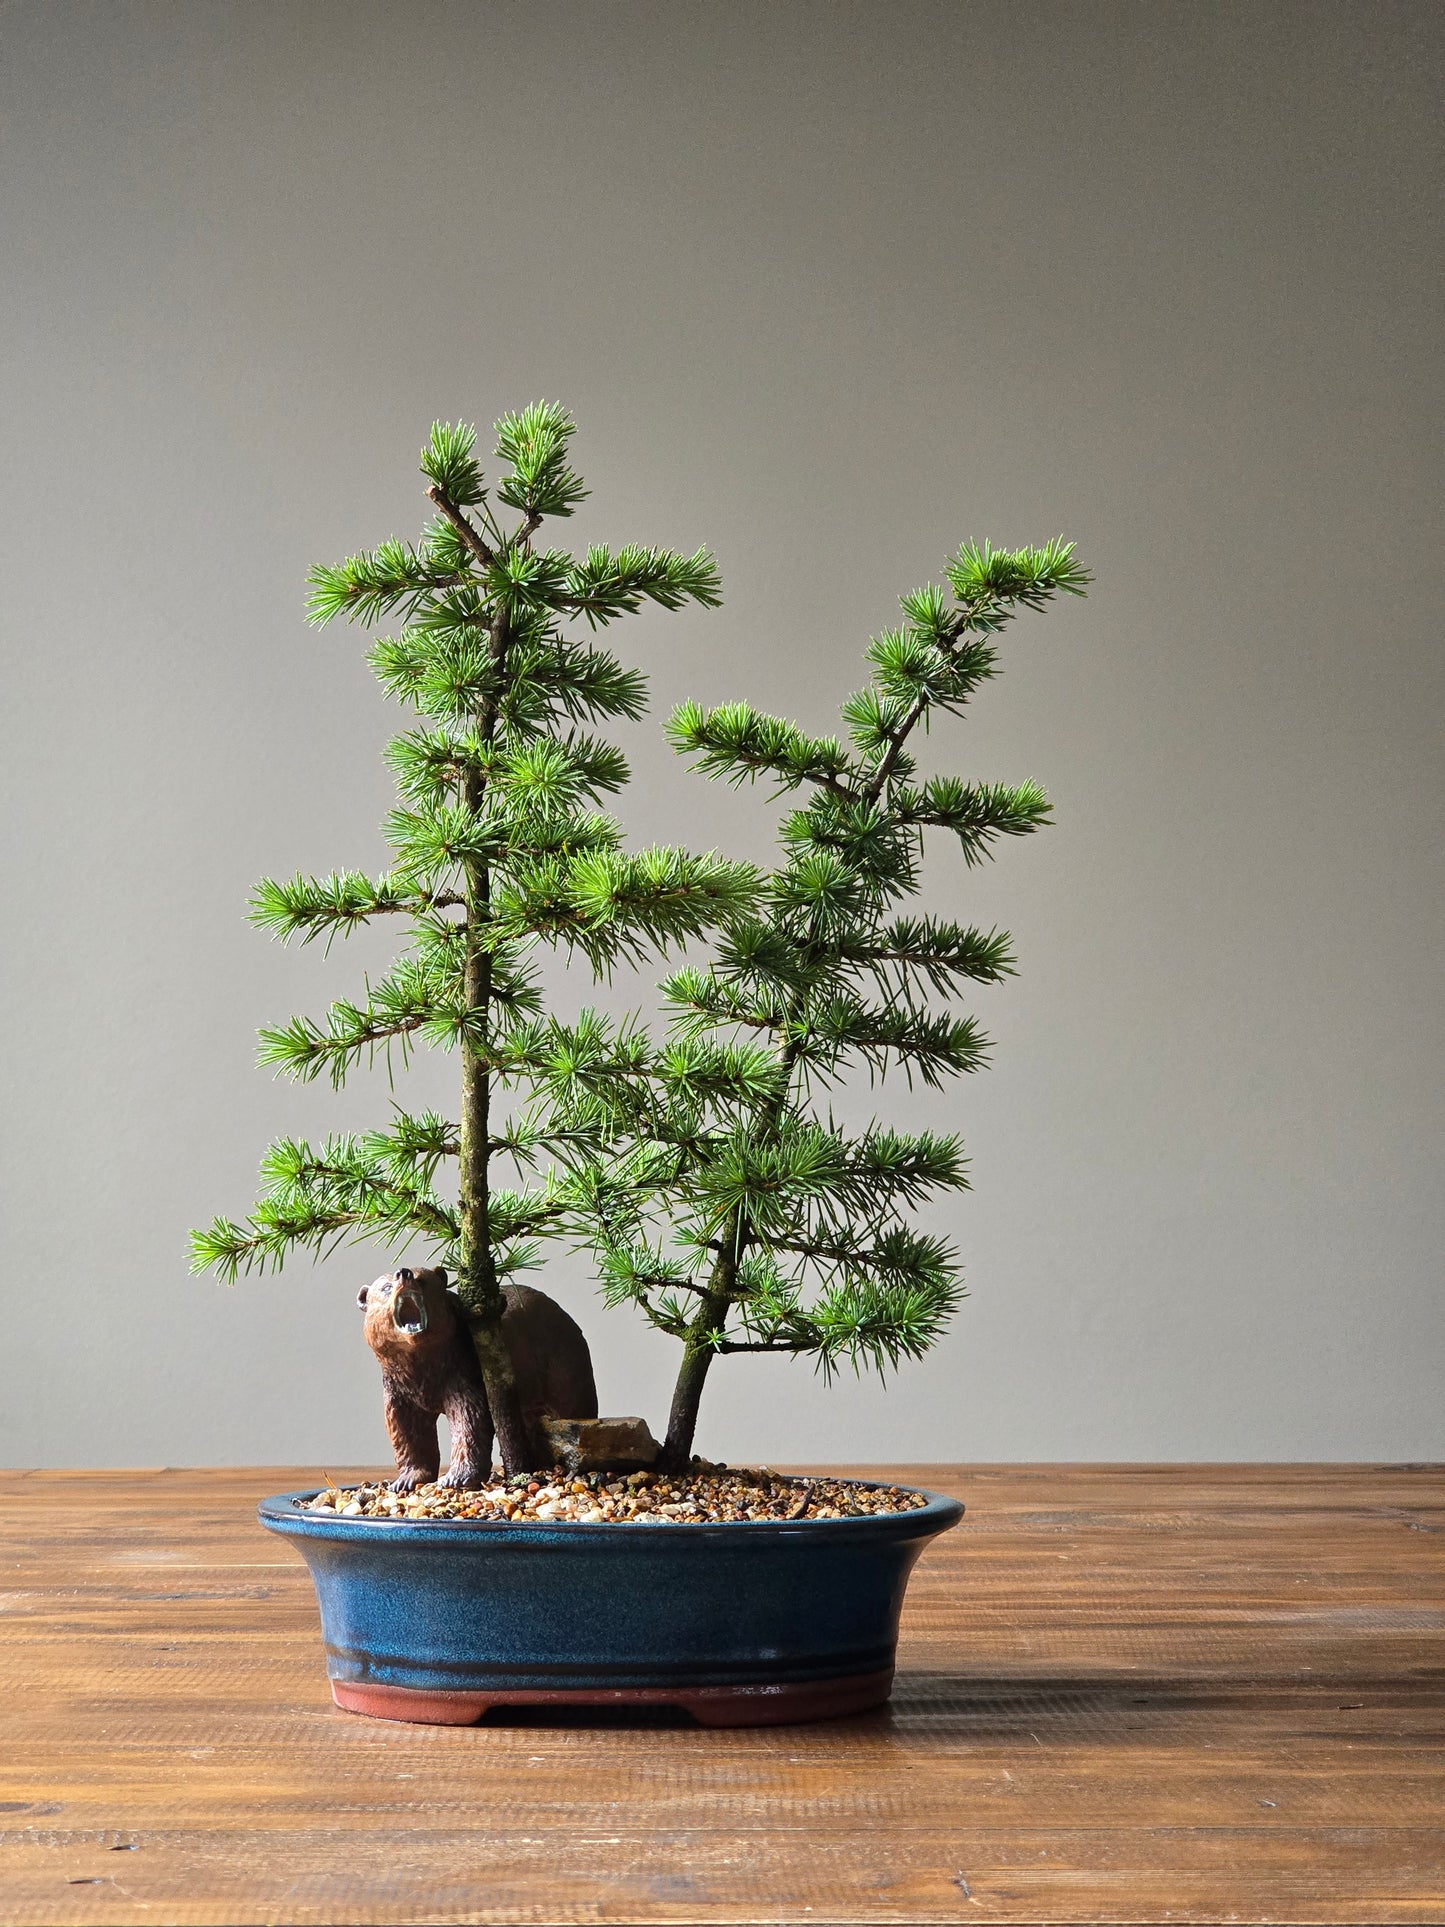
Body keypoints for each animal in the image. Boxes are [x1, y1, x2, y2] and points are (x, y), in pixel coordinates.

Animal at [357, 1266, 598, 1490]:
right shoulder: (400, 1389)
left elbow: (469, 1419)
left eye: (423, 1280)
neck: (423, 1366)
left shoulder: (462, 1371)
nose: (404, 1273)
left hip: (562, 1360)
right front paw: (406, 1480)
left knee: (574, 1404)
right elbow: (406, 1430)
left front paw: (456, 1477)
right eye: (385, 1287)